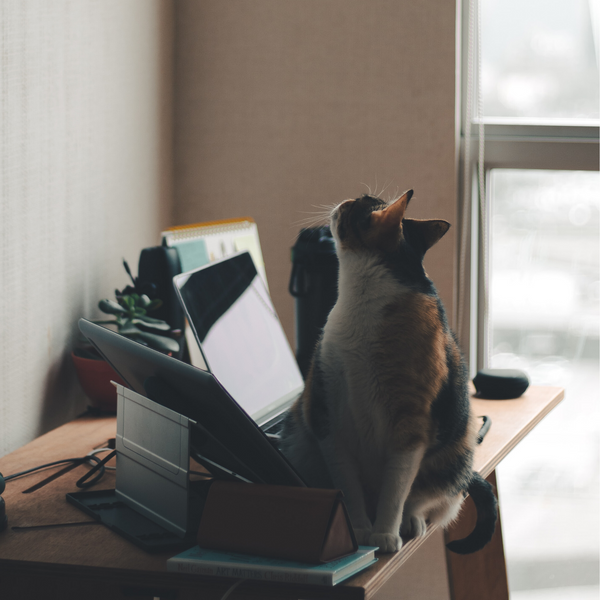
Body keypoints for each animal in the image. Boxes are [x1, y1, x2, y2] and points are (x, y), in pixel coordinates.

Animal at [282, 191, 496, 552]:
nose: (341, 200)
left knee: (422, 497)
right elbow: (347, 488)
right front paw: (356, 530)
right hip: (300, 438)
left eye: (355, 204)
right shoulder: (327, 418)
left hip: (458, 449)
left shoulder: (412, 427)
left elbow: (397, 488)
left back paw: (410, 523)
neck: (361, 304)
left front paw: (384, 534)